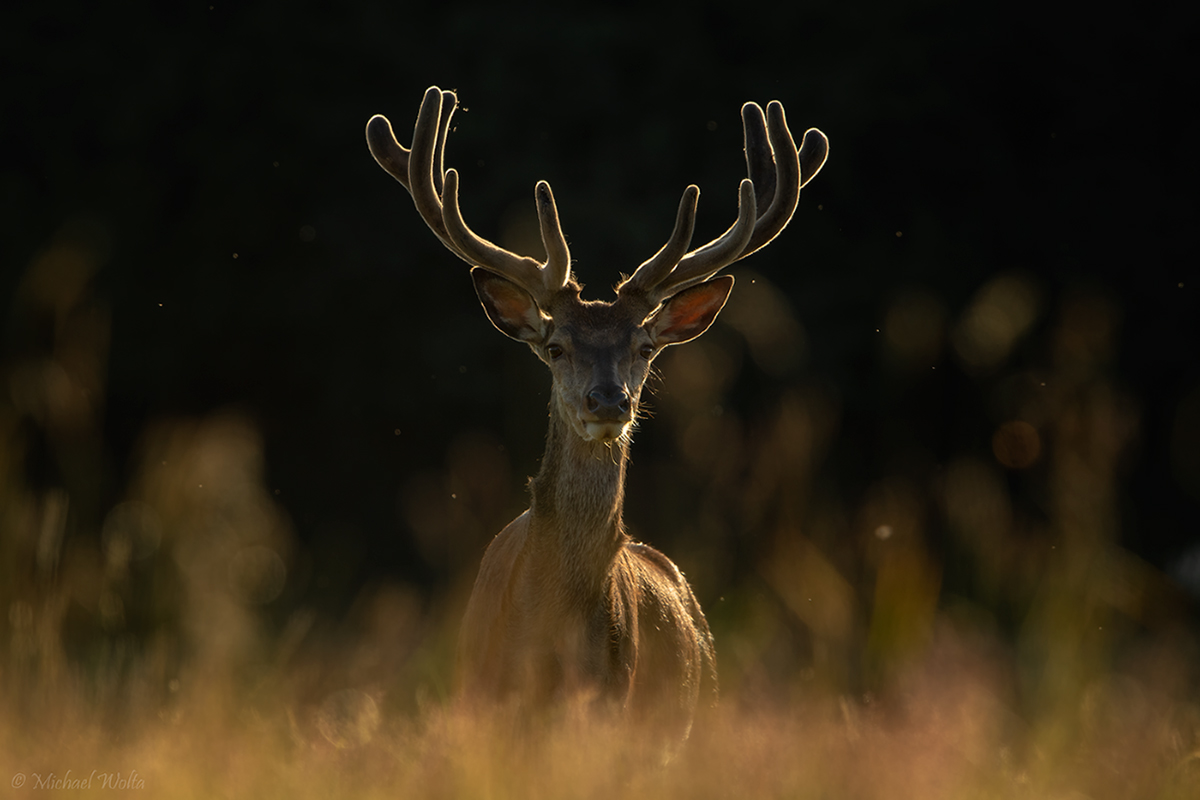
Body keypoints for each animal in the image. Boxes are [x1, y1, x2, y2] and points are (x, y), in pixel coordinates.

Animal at [362, 84, 825, 743]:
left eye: (645, 347)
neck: (548, 639)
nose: (608, 400)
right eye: (556, 347)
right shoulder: (482, 699)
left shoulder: (613, 703)